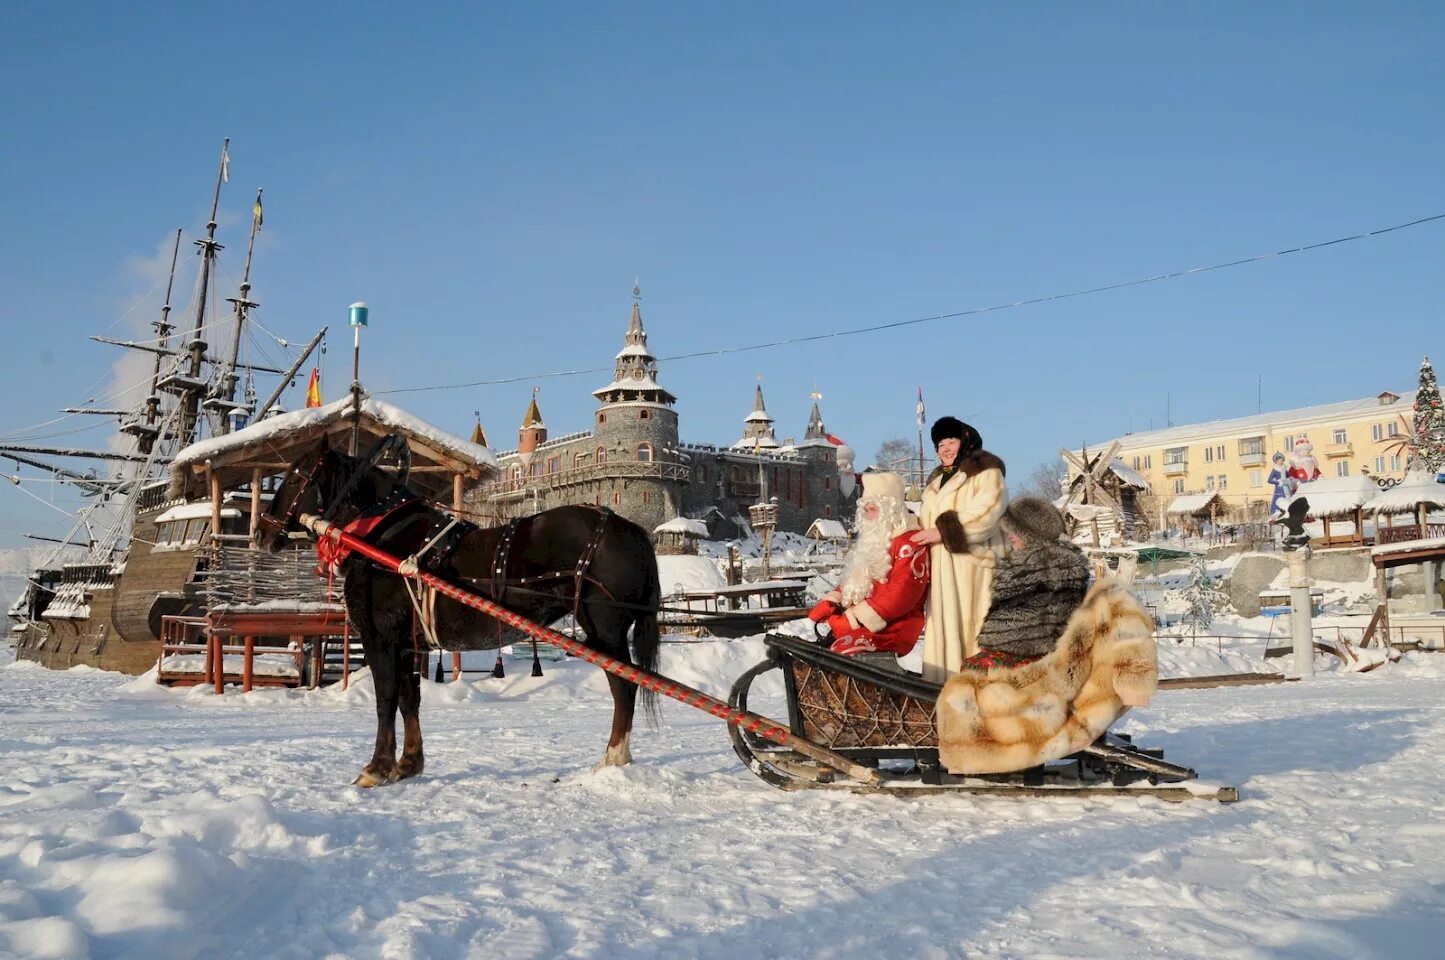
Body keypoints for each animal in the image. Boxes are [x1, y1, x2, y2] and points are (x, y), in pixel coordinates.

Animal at [257, 439, 661, 786]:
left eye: (294, 476)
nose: (262, 531)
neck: (379, 538)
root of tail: (630, 529)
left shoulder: (381, 639)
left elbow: (385, 699)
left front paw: (376, 767)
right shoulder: (408, 643)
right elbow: (409, 698)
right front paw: (408, 764)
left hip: (604, 631)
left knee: (625, 687)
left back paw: (614, 757)